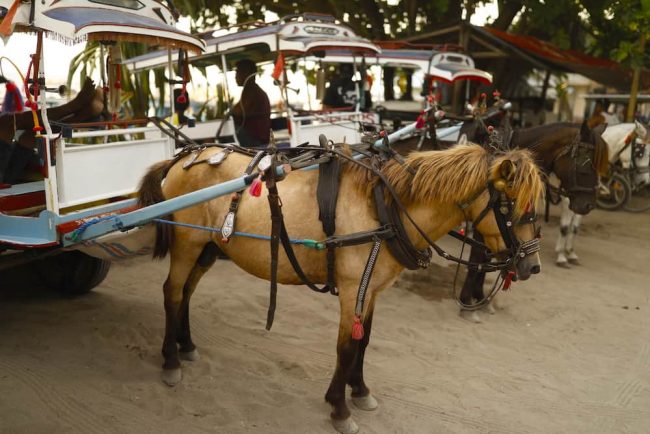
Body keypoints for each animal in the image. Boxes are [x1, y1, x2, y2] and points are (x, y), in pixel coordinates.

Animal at [138, 143, 544, 434]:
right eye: (512, 206)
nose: (532, 266)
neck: (384, 210)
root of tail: (182, 159)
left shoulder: (374, 288)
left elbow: (364, 342)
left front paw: (360, 391)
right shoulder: (352, 289)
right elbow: (346, 347)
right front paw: (339, 407)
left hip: (207, 248)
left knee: (187, 292)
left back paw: (186, 344)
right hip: (187, 243)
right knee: (172, 293)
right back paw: (170, 360)